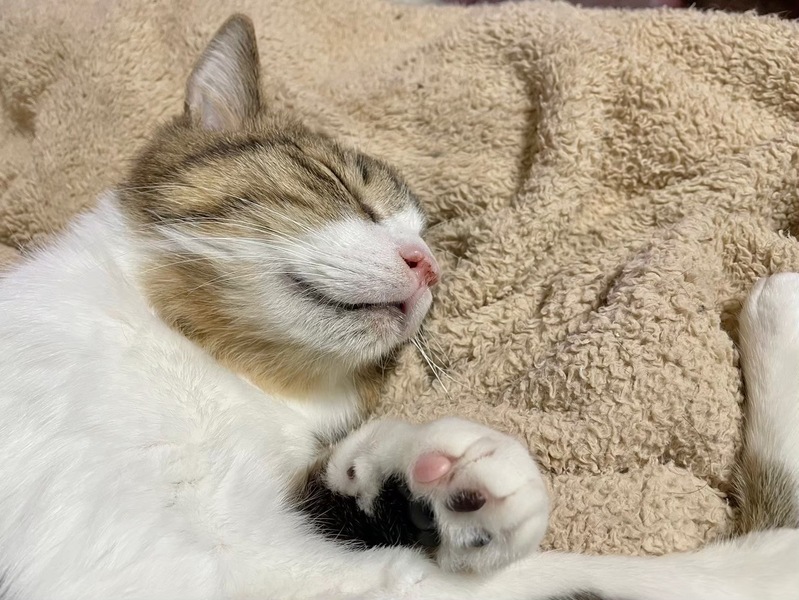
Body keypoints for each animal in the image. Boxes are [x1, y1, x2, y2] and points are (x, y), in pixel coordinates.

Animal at [0, 13, 797, 600]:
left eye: (426, 239)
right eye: (338, 186)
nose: (427, 267)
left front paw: (410, 477)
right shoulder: (236, 563)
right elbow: (611, 575)